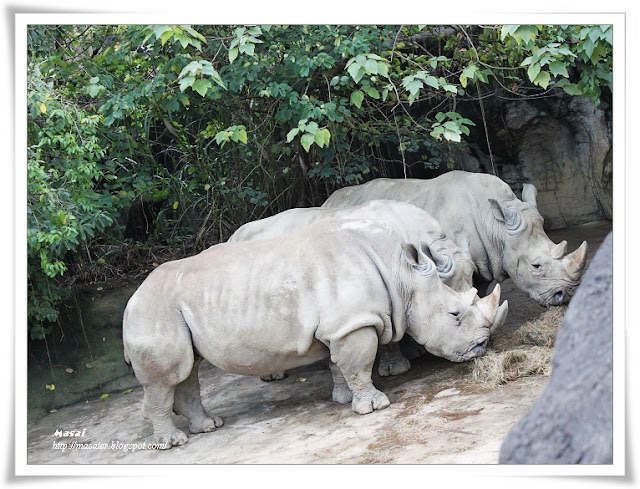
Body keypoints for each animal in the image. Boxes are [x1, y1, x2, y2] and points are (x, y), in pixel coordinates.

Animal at [122, 219, 502, 448]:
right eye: (454, 315)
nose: (482, 346)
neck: (402, 275)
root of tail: (131, 299)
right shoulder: (353, 323)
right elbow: (359, 364)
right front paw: (374, 407)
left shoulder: (338, 326)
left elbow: (339, 365)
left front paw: (344, 400)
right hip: (154, 312)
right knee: (165, 379)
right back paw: (173, 443)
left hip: (170, 309)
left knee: (188, 370)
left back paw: (210, 426)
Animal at [229, 198, 504, 378]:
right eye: (453, 309)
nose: (485, 341)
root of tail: (233, 236)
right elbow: (390, 331)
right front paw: (396, 369)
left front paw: (413, 352)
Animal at [322, 172, 588, 306]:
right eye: (536, 265)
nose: (566, 295)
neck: (496, 226)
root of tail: (327, 201)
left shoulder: (480, 258)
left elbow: (475, 287)